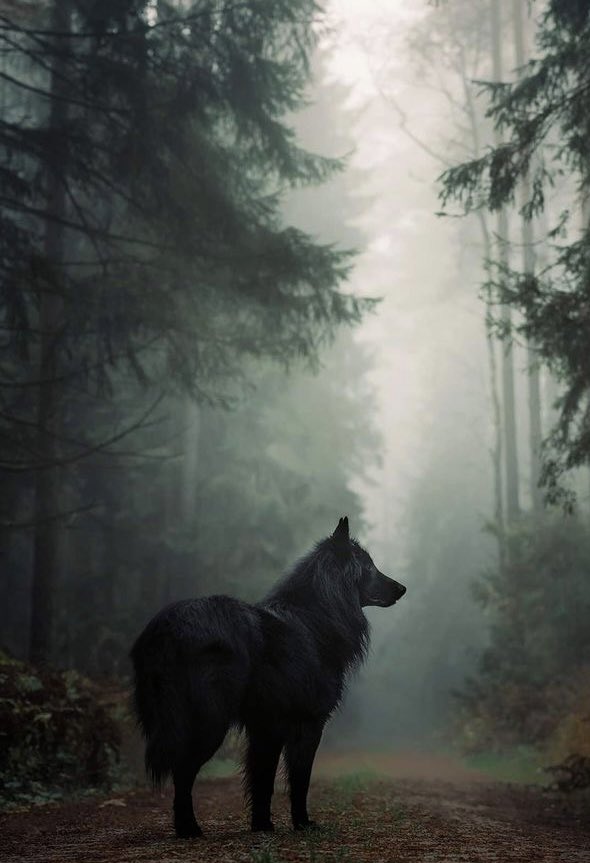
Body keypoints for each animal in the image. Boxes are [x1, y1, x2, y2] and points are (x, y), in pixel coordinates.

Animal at [130, 517, 406, 838]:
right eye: (370, 567)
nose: (402, 588)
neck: (317, 619)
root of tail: (166, 627)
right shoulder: (307, 723)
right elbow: (299, 780)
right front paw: (302, 822)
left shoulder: (265, 727)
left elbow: (261, 780)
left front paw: (262, 825)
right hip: (210, 722)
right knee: (183, 770)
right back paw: (189, 828)